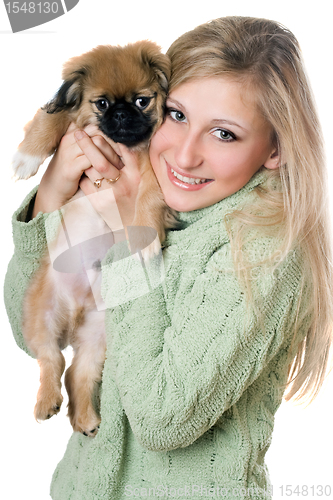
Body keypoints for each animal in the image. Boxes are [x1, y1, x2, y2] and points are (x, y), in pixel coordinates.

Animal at [14, 41, 176, 436]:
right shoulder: (75, 126)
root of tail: (75, 313)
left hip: (97, 337)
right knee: (51, 362)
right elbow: (52, 119)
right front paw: (26, 157)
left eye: (142, 101)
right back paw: (47, 402)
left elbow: (149, 195)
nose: (120, 114)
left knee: (77, 372)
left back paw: (85, 418)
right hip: (43, 320)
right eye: (101, 103)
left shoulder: (153, 173)